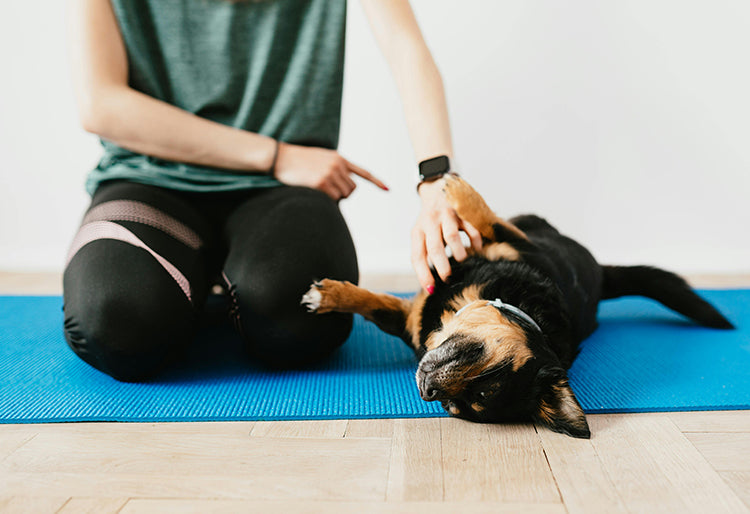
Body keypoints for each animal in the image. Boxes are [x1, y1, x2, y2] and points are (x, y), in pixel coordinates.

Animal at [300, 175, 736, 436]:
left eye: (460, 404)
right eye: (489, 369)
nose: (427, 390)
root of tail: (600, 274)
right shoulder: (508, 249)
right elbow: (373, 303)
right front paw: (330, 296)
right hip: (530, 225)